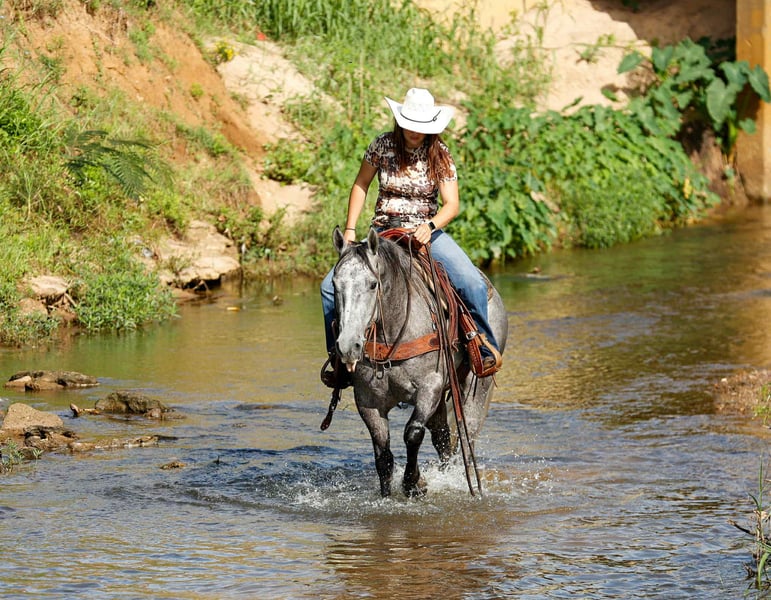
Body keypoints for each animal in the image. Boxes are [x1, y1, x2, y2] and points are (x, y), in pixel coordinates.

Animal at [329, 226, 508, 497]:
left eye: (373, 284)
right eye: (334, 283)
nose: (348, 346)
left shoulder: (429, 387)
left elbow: (412, 433)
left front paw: (414, 483)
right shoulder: (368, 400)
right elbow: (383, 455)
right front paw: (388, 494)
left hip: (476, 389)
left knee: (465, 439)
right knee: (442, 439)